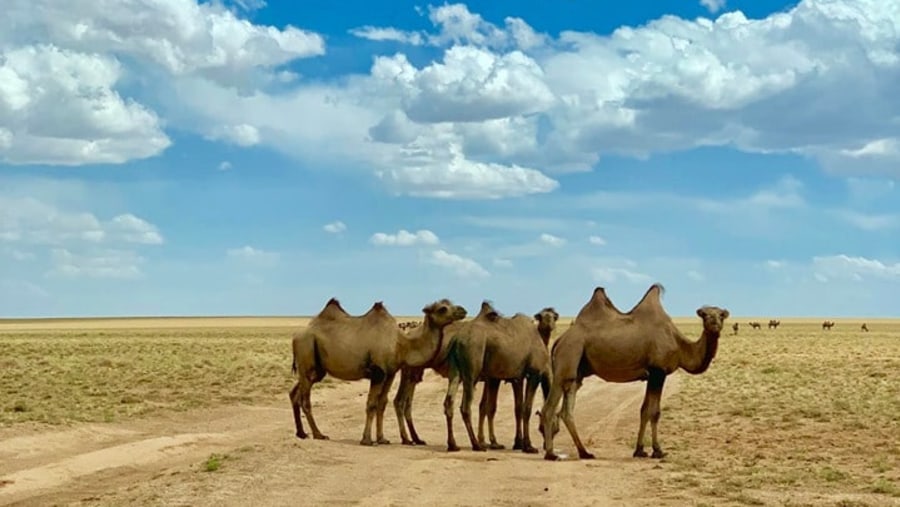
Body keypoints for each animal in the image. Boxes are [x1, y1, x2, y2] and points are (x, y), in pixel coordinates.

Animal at [290, 300, 468, 446]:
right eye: (442, 308)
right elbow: (371, 404)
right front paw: (367, 440)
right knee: (305, 399)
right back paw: (318, 434)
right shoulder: (378, 372)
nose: (463, 310)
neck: (401, 344)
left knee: (295, 393)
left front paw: (382, 438)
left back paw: (301, 433)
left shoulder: (390, 373)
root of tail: (296, 337)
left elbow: (382, 403)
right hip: (306, 353)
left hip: (316, 369)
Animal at [478, 308, 556, 450]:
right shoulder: (526, 376)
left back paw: (484, 441)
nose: (546, 444)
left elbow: (517, 408)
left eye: (554, 316)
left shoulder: (516, 378)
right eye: (541, 316)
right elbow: (523, 408)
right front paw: (524, 444)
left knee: (483, 406)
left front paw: (518, 442)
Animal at [536, 284, 728, 462]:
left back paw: (585, 453)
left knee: (567, 411)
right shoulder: (659, 371)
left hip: (577, 372)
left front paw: (640, 450)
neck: (680, 346)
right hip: (568, 356)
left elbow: (644, 410)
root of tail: (560, 340)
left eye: (721, 315)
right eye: (705, 315)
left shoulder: (652, 375)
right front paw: (658, 451)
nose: (715, 324)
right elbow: (655, 412)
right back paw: (551, 454)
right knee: (549, 408)